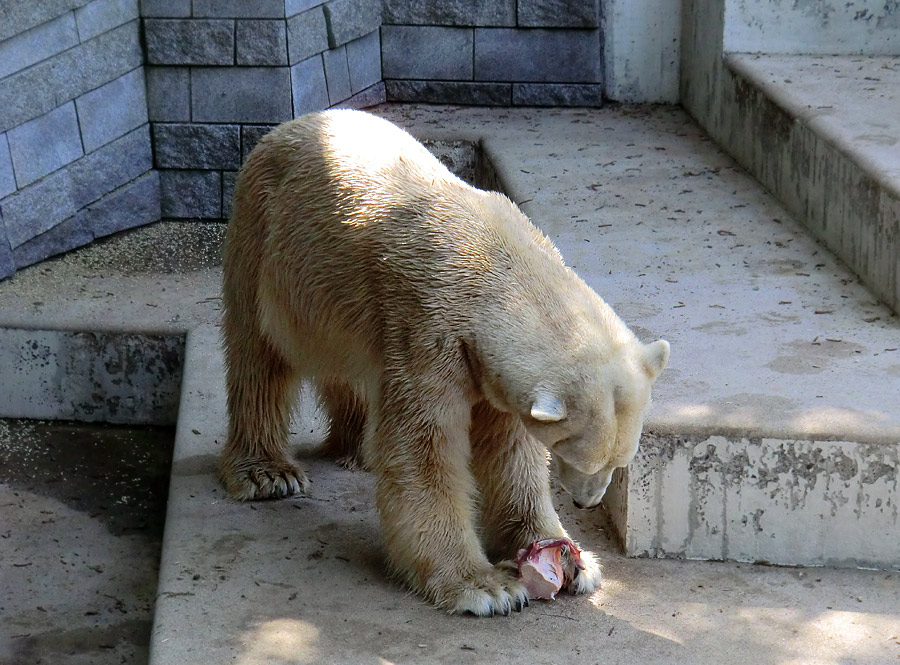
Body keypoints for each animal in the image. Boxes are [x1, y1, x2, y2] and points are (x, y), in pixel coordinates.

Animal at [218, 110, 668, 616]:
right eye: (578, 456)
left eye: (621, 459)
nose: (589, 504)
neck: (496, 262)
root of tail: (292, 125)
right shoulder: (427, 327)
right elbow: (423, 450)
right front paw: (487, 587)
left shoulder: (484, 366)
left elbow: (510, 453)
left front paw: (571, 561)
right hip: (266, 241)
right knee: (259, 354)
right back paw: (268, 472)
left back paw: (356, 448)